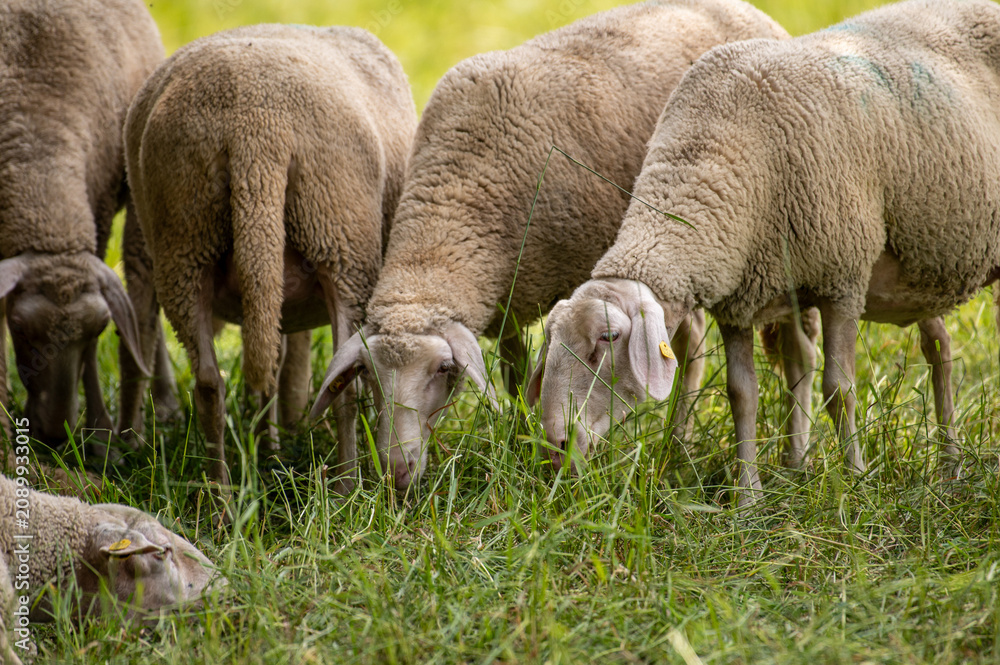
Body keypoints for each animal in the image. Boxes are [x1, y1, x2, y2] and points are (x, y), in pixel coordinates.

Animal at [0, 0, 174, 450]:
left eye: (98, 330)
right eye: (19, 328)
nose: (53, 434)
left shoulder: (97, 212)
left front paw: (100, 436)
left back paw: (166, 403)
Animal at [123, 24, 418, 490]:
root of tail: (253, 128)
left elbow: (271, 368)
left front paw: (270, 447)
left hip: (184, 240)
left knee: (210, 382)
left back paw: (222, 493)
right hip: (340, 234)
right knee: (343, 386)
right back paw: (347, 486)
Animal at [310, 0, 794, 490]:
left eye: (444, 369)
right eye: (366, 375)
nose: (395, 472)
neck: (458, 196)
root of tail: (742, 9)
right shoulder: (505, 300)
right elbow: (517, 376)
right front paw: (520, 439)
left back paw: (680, 446)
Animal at [532, 0, 998, 505]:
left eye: (608, 338)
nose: (556, 447)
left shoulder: (843, 279)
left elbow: (840, 389)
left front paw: (855, 483)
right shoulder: (739, 296)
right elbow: (742, 393)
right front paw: (749, 497)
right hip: (927, 262)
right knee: (939, 348)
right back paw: (949, 468)